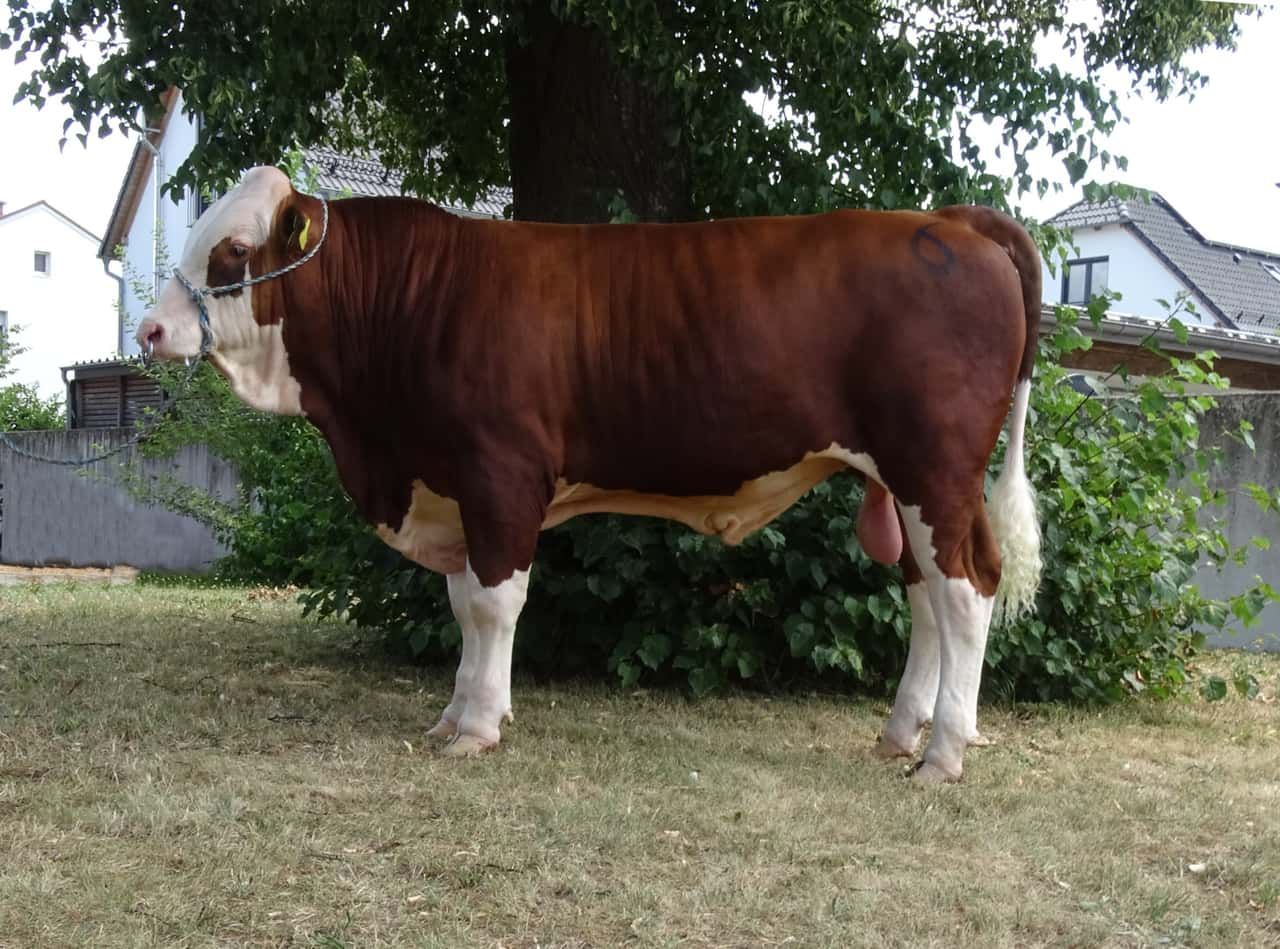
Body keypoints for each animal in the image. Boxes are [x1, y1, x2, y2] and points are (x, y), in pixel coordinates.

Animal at [138, 165, 1042, 782]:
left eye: (233, 251)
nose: (148, 329)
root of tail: (948, 220)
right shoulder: (455, 486)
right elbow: (463, 605)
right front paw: (455, 714)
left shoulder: (499, 471)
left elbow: (495, 603)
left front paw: (479, 727)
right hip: (907, 484)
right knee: (928, 597)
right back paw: (901, 732)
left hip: (935, 467)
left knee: (967, 591)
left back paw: (943, 753)